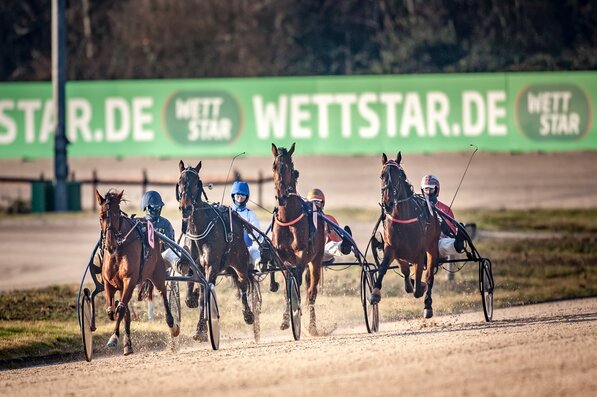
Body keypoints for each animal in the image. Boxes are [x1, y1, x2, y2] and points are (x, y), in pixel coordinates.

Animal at [94, 188, 179, 352]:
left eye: (116, 215)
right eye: (102, 216)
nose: (110, 245)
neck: (119, 249)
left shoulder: (130, 279)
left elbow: (120, 309)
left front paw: (113, 338)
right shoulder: (109, 282)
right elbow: (112, 310)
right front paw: (121, 339)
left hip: (158, 274)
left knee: (164, 295)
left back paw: (173, 326)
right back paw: (128, 343)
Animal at [175, 159, 254, 338]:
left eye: (196, 183)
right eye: (180, 182)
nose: (186, 208)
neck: (199, 231)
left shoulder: (212, 266)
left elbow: (205, 296)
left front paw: (201, 329)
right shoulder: (194, 264)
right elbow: (191, 286)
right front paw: (192, 298)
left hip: (240, 262)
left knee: (243, 284)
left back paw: (248, 315)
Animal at [272, 142, 326, 334]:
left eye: (289, 167)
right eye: (274, 166)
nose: (281, 197)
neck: (288, 218)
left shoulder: (302, 255)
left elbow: (299, 284)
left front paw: (297, 315)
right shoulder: (282, 258)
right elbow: (287, 288)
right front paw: (285, 320)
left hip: (316, 260)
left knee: (311, 292)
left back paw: (312, 326)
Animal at [370, 152, 440, 318]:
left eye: (399, 175)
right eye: (382, 175)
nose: (388, 203)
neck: (402, 219)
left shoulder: (419, 253)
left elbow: (419, 283)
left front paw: (420, 287)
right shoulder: (391, 248)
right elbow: (386, 268)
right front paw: (375, 294)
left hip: (432, 246)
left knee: (429, 276)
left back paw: (427, 304)